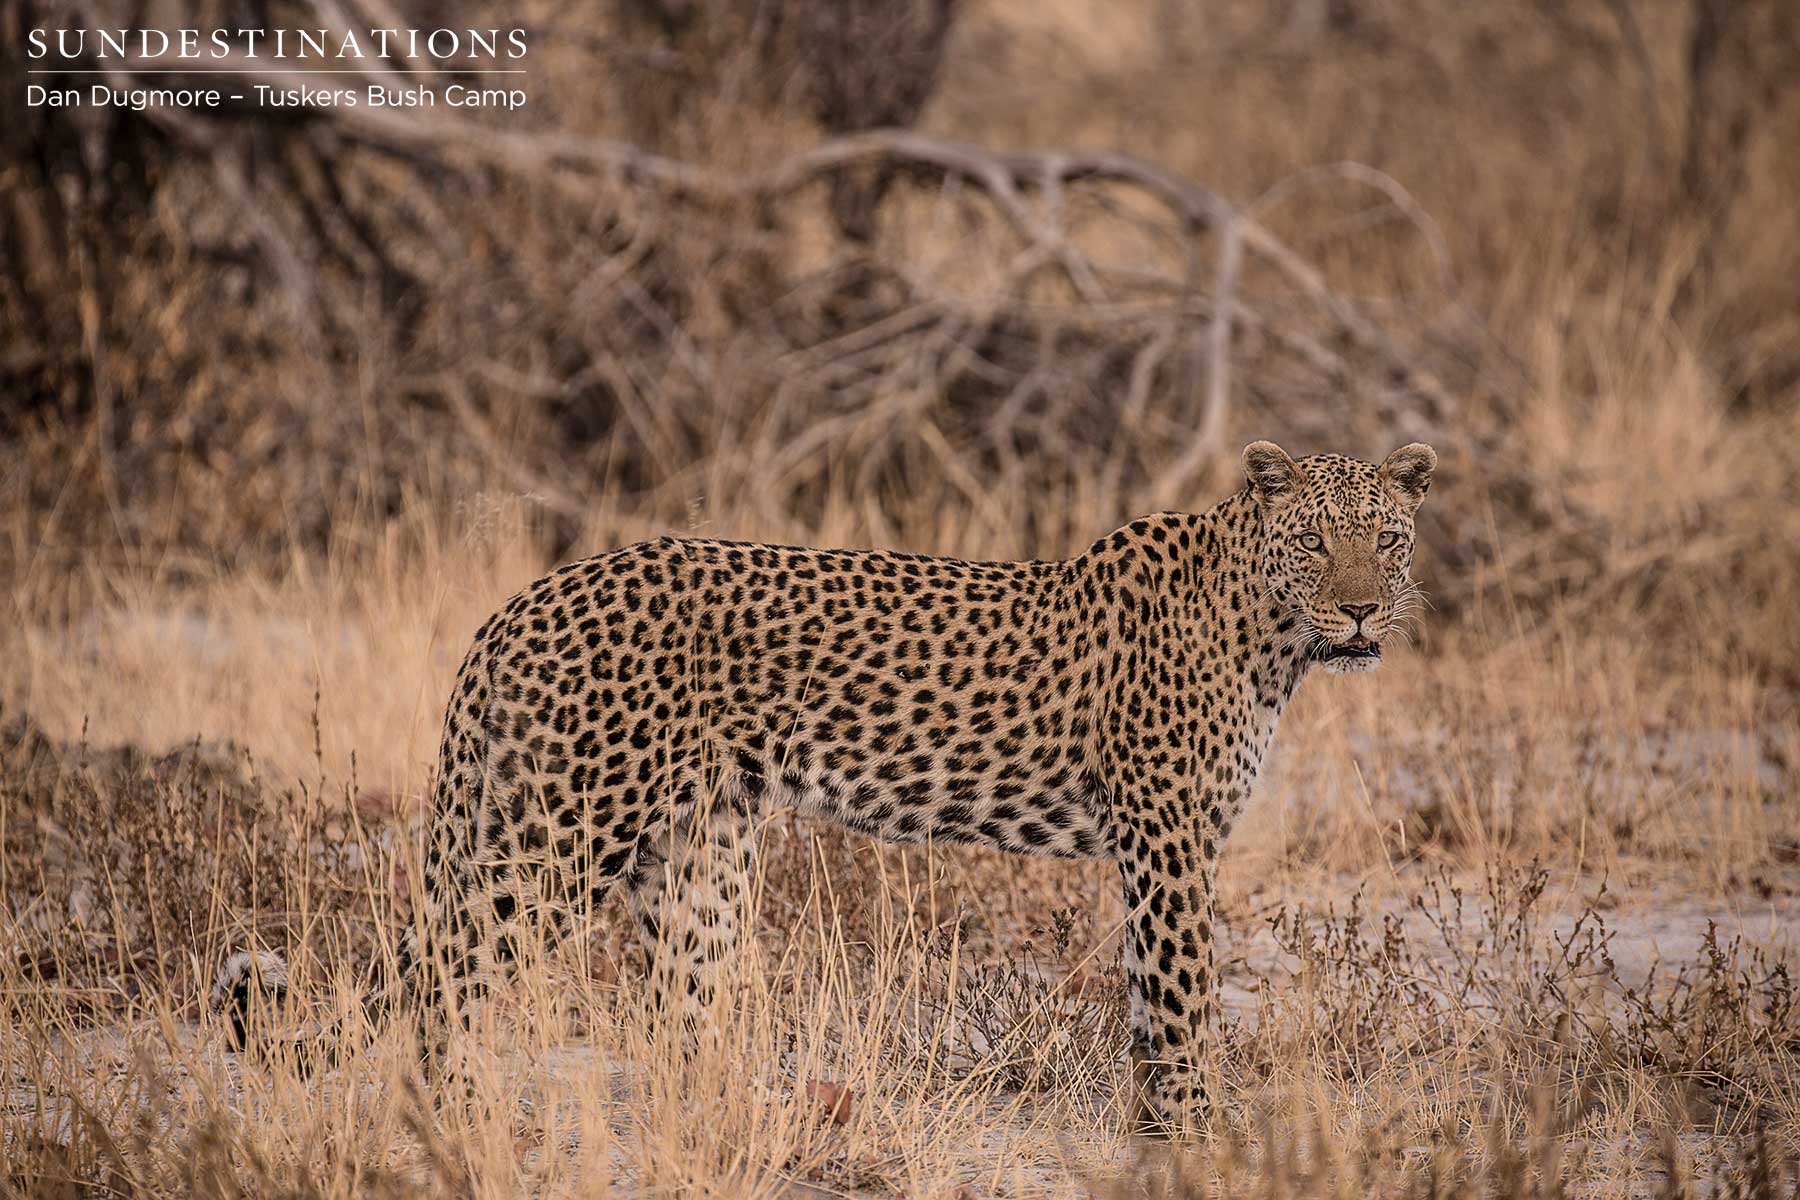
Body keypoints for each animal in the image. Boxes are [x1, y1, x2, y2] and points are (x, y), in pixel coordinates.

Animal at [215, 439, 1437, 1135]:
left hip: (696, 852)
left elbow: (1148, 1002)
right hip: (560, 833)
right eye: (1315, 542)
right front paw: (1198, 1133)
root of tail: (522, 602)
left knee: (676, 1014)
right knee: (448, 983)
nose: (1363, 609)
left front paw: (1163, 1131)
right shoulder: (1170, 843)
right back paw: (456, 1125)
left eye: (1386, 539)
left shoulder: (1162, 851)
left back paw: (739, 1125)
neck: (1270, 636)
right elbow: (1181, 1003)